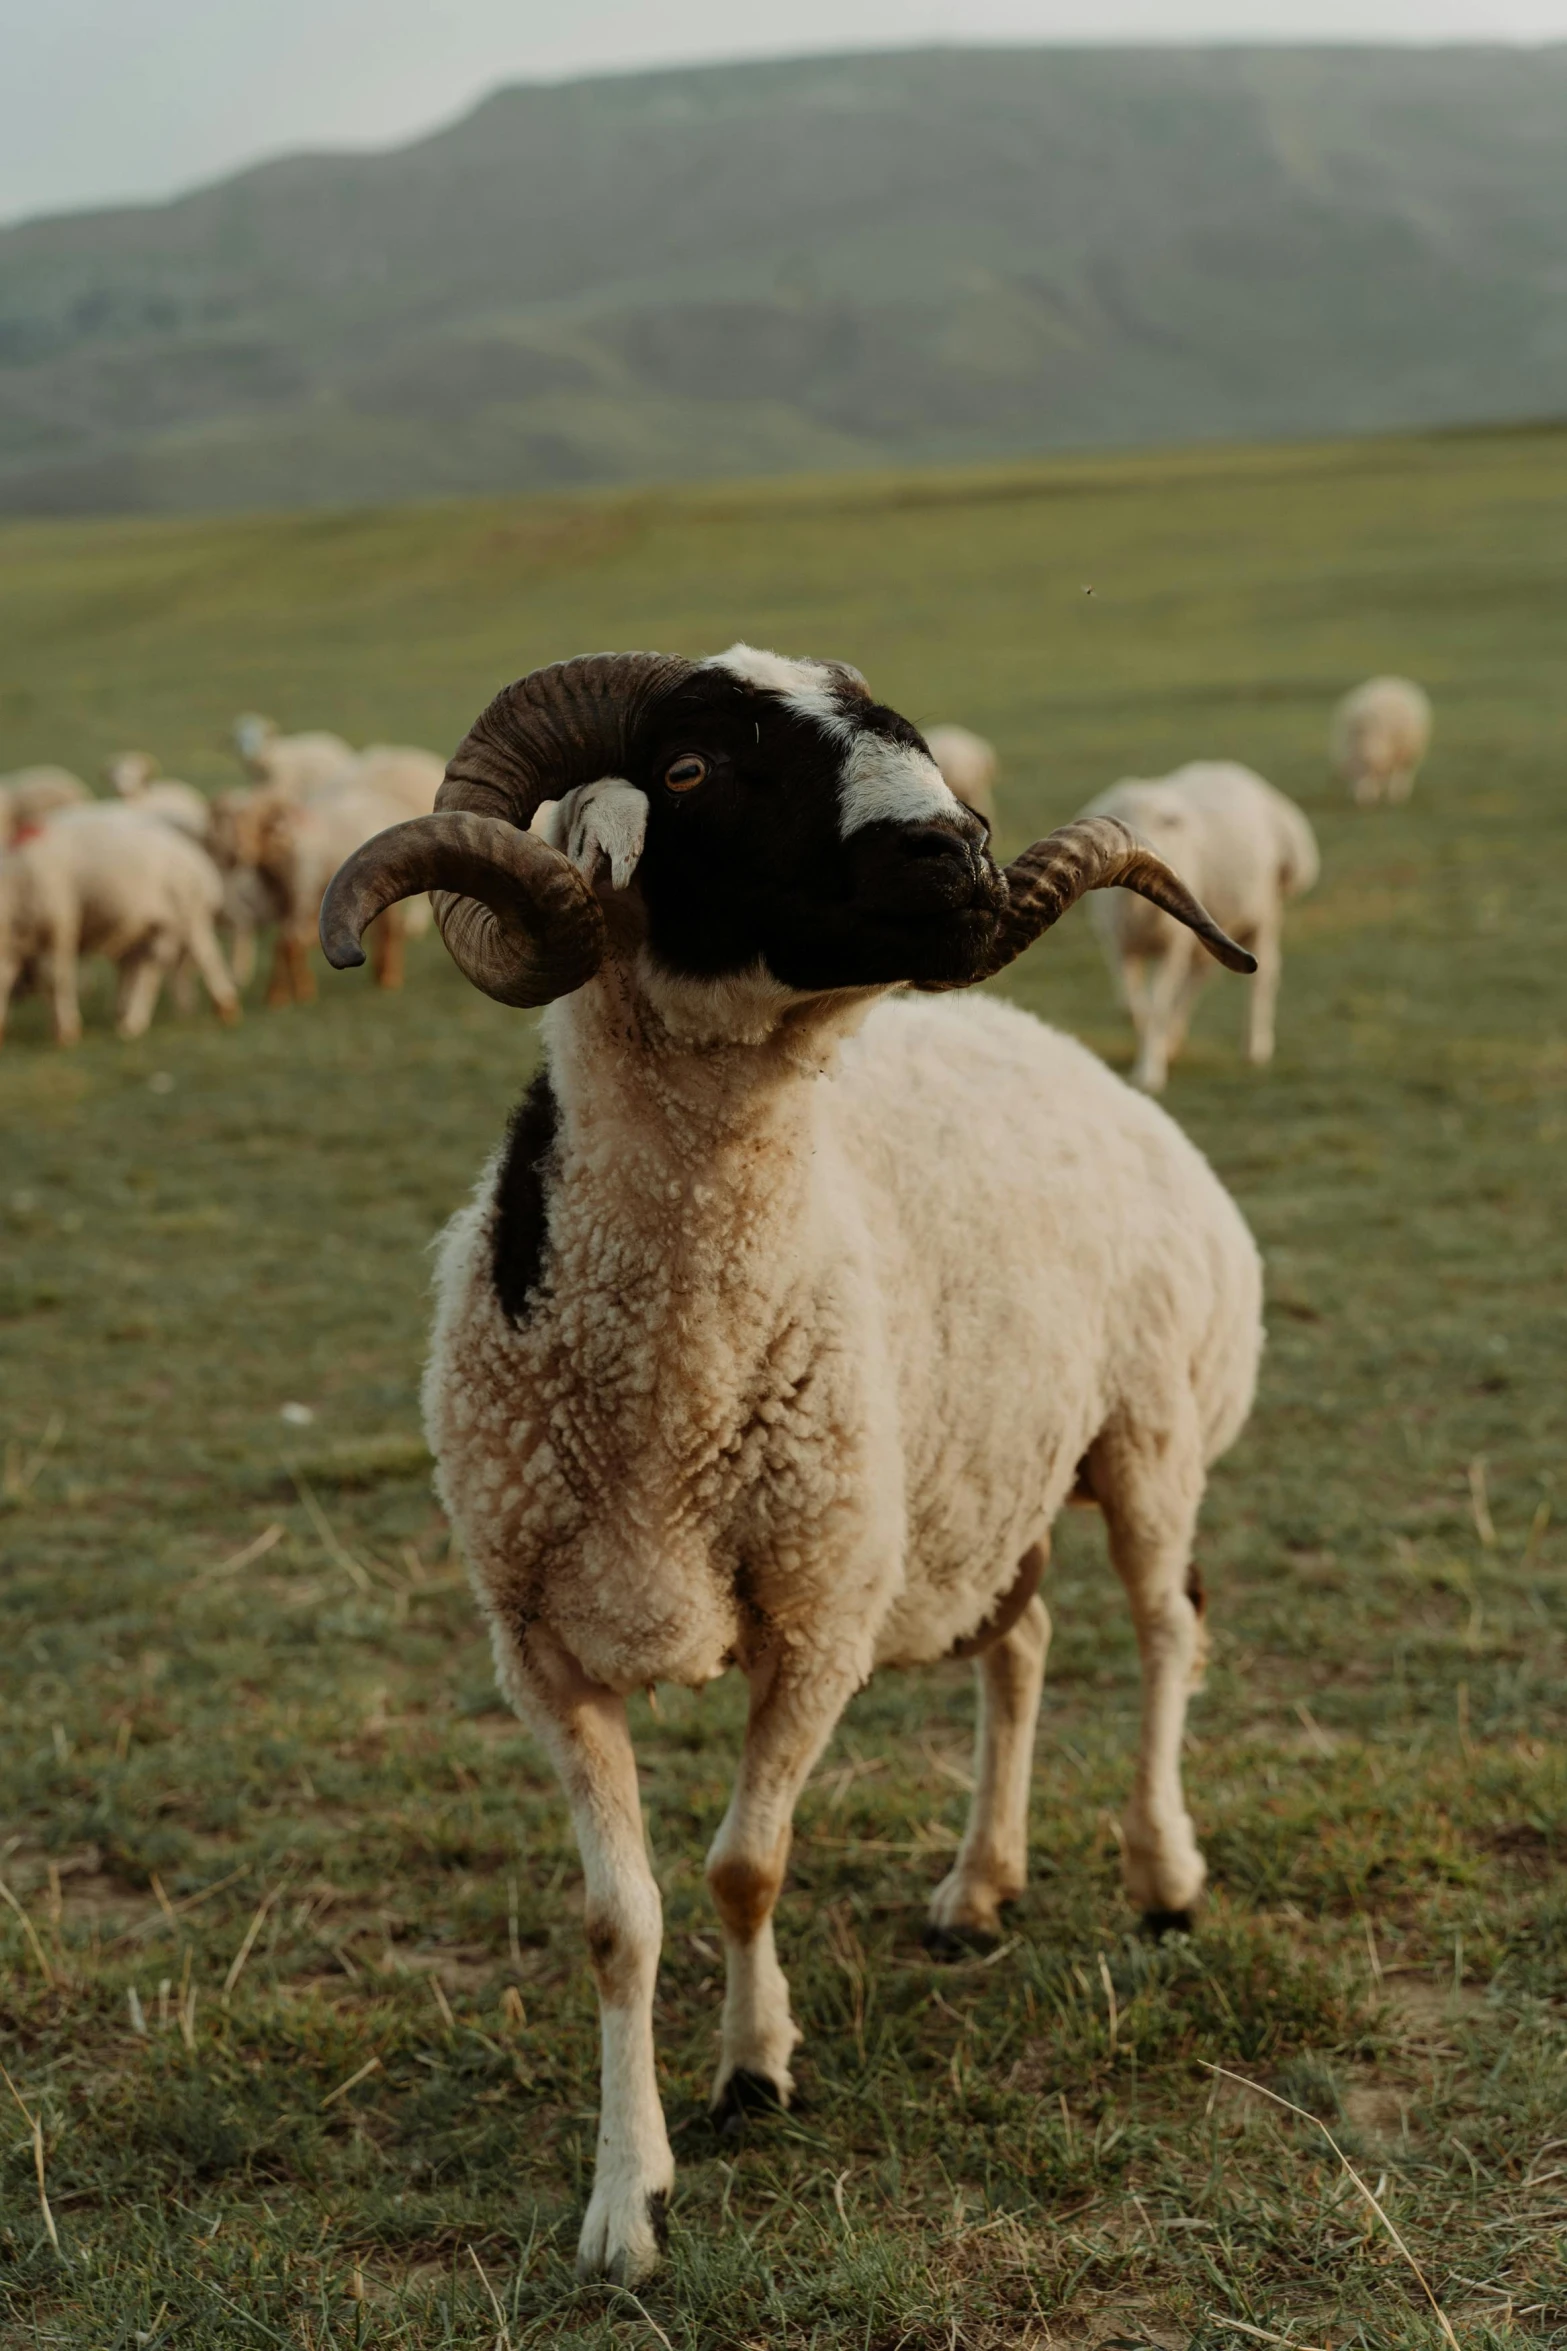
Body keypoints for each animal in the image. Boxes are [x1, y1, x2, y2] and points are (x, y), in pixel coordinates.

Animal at [0, 804, 239, 1043]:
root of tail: (201, 866)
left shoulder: (59, 927)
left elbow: (55, 978)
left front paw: (66, 1032)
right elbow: (6, 977)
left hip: (189, 916)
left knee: (205, 956)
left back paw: (224, 1006)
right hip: (152, 928)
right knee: (149, 968)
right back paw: (130, 1021)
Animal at [324, 639, 1268, 2275]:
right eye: (695, 767)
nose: (959, 858)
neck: (669, 1390)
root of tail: (1066, 1056)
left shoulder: (819, 1613)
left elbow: (741, 1866)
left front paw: (753, 2067)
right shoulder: (538, 1650)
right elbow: (619, 1918)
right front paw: (622, 2202)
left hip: (1148, 1434)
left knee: (1164, 1626)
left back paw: (1161, 1876)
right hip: (983, 1474)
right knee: (1020, 1646)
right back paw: (975, 1886)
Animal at [1080, 761, 1325, 1090]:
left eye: (1159, 824)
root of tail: (1236, 770)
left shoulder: (1172, 944)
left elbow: (1157, 1007)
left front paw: (1149, 1072)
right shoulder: (1119, 945)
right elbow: (1133, 1007)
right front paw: (1151, 1048)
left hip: (1264, 912)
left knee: (1263, 976)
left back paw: (1255, 1047)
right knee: (1200, 974)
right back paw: (1174, 1039)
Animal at [1334, 672, 1428, 808]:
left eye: (1367, 774)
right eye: (1353, 776)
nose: (1362, 802)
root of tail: (1391, 677)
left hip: (1410, 749)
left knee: (1403, 771)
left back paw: (1399, 792)